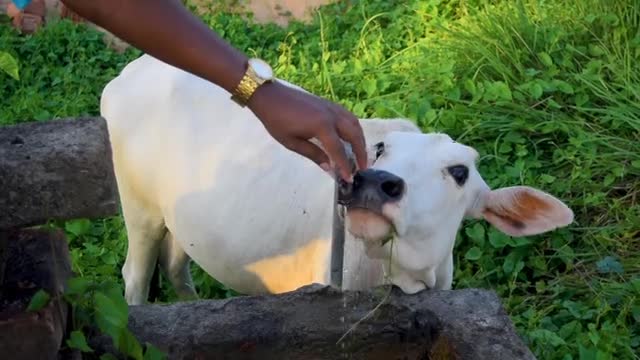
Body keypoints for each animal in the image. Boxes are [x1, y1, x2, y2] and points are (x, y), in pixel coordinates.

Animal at [101, 54, 576, 306]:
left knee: (176, 264)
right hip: (139, 209)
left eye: (459, 172)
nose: (374, 182)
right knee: (135, 276)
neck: (406, 277)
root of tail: (129, 73)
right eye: (380, 149)